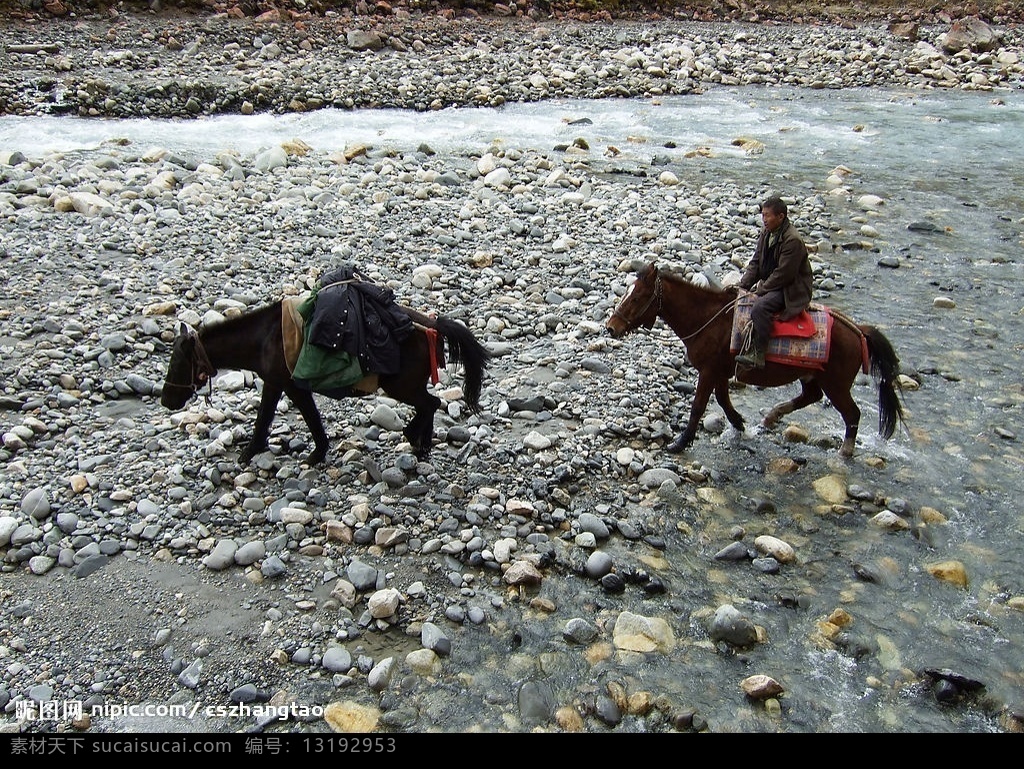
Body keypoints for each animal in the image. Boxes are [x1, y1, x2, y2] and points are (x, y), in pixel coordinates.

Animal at [161, 303, 489, 466]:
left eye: (177, 363)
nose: (166, 401)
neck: (263, 337)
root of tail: (431, 326)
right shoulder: (285, 385)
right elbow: (291, 417)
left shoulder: (285, 384)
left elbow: (281, 417)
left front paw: (253, 453)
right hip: (408, 385)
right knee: (431, 404)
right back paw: (421, 443)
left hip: (402, 387)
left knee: (431, 403)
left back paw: (415, 439)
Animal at [606, 264, 905, 456]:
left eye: (637, 297)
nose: (611, 327)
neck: (709, 320)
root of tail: (858, 331)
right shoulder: (719, 372)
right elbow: (722, 400)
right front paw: (740, 425)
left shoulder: (709, 370)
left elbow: (699, 405)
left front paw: (680, 443)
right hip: (812, 375)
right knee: (812, 396)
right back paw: (772, 417)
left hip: (837, 383)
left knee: (851, 413)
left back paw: (845, 451)